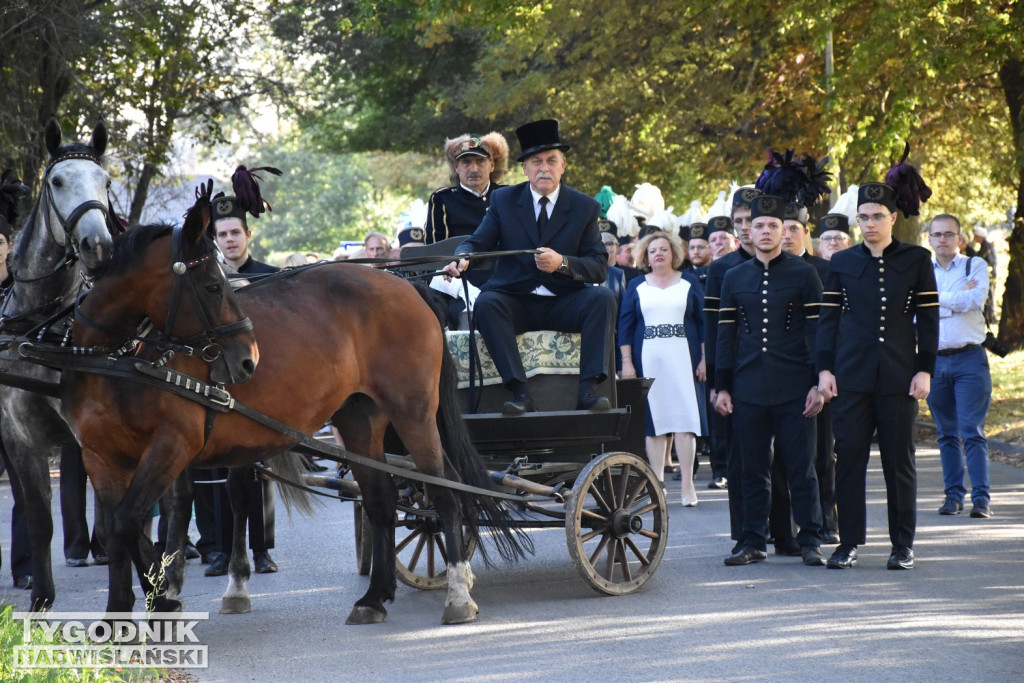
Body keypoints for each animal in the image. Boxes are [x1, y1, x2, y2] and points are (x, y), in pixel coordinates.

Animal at [64, 201, 528, 618]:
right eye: (213, 286)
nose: (247, 358)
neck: (119, 358)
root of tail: (404, 283)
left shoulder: (174, 445)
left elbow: (133, 519)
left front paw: (163, 597)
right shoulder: (103, 456)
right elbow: (119, 526)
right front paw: (130, 607)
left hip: (412, 412)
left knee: (443, 490)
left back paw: (457, 594)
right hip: (359, 419)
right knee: (380, 499)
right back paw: (375, 597)